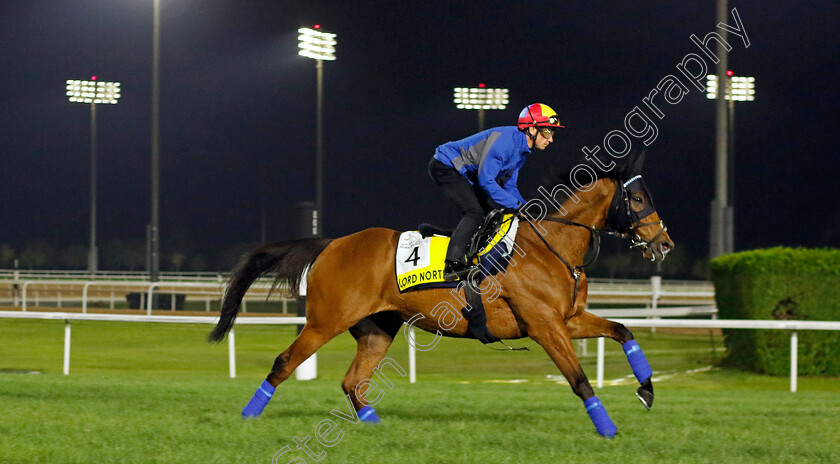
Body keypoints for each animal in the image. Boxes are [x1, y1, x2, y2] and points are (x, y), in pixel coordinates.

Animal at [210, 150, 676, 438]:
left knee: (352, 381)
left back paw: (375, 425)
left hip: (377, 329)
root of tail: (331, 243)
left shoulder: (570, 319)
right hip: (326, 321)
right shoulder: (545, 325)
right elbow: (578, 379)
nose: (665, 244)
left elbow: (623, 329)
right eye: (637, 199)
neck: (551, 246)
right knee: (284, 362)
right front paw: (608, 429)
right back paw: (248, 415)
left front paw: (647, 390)